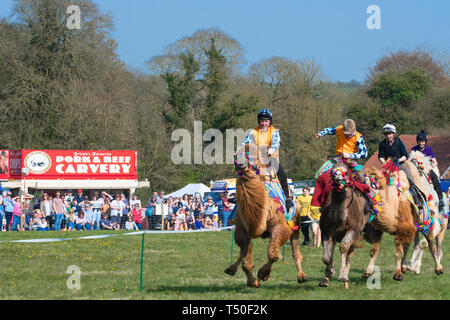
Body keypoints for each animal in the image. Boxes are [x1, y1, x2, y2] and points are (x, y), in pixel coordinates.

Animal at [224, 143, 308, 288]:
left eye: (250, 155)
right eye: (236, 154)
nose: (240, 163)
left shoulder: (281, 227)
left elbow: (273, 254)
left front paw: (263, 274)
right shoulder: (242, 230)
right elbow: (246, 260)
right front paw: (253, 282)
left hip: (296, 225)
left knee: (295, 251)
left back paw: (301, 276)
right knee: (243, 252)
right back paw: (231, 269)